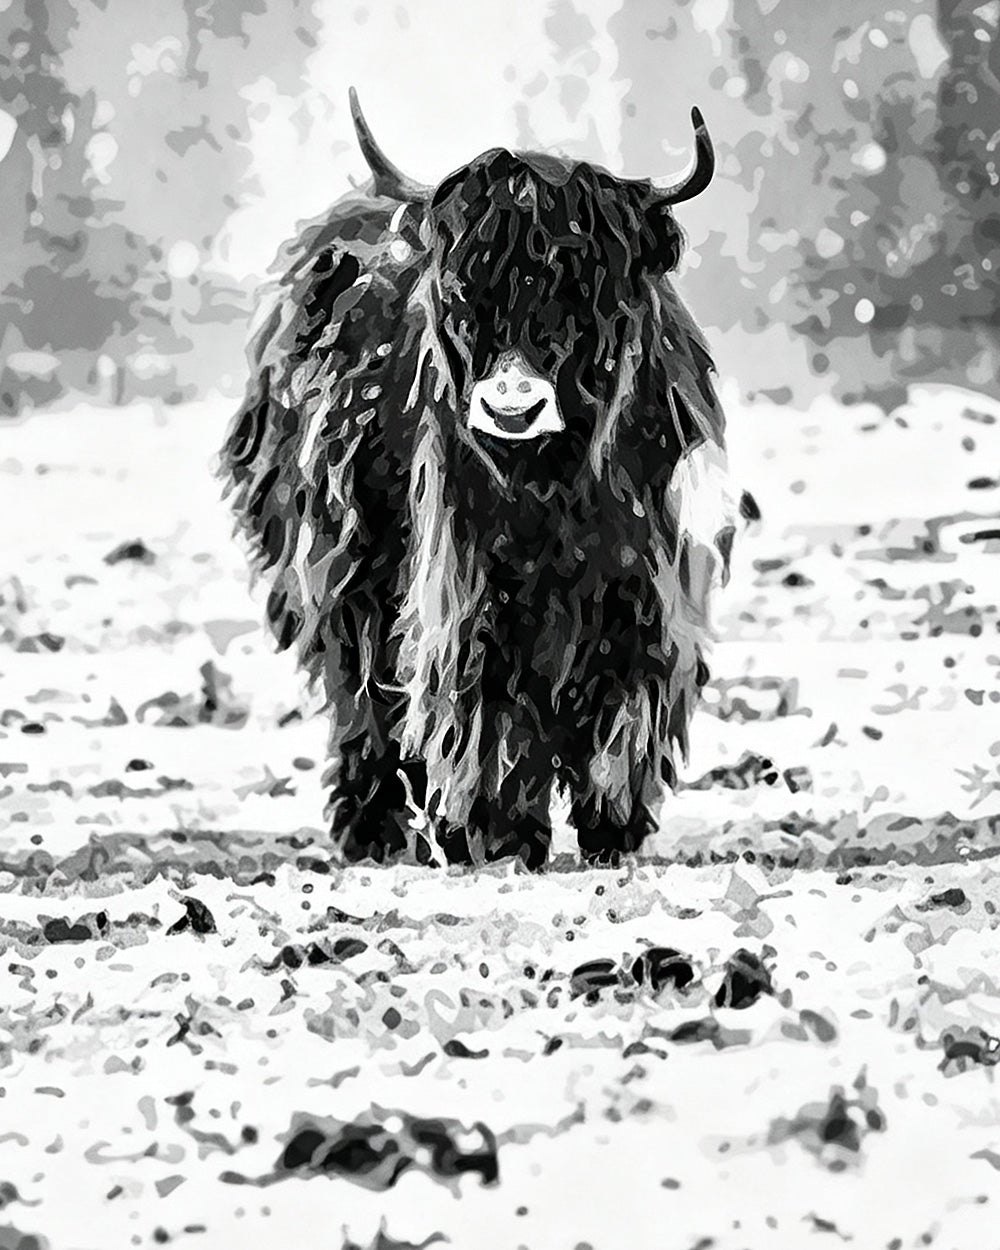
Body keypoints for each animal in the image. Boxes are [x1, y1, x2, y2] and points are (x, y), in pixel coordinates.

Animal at [221, 89, 737, 869]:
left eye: (587, 289)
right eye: (465, 291)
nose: (511, 408)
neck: (552, 487)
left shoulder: (648, 581)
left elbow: (629, 689)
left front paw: (612, 825)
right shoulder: (463, 582)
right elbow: (484, 696)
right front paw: (499, 833)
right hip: (332, 571)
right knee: (360, 693)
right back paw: (376, 830)